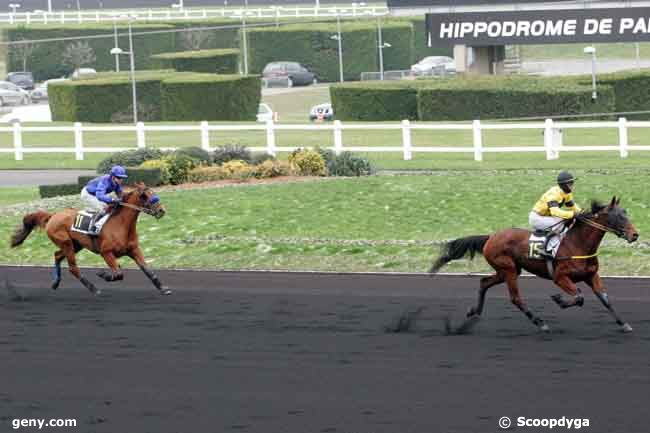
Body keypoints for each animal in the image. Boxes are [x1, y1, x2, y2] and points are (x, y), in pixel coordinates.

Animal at [11, 181, 170, 296]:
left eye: (153, 192)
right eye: (145, 195)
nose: (161, 210)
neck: (121, 225)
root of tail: (53, 216)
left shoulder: (134, 250)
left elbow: (147, 270)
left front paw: (163, 289)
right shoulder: (106, 252)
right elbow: (118, 273)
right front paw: (103, 274)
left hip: (75, 245)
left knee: (57, 255)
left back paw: (56, 282)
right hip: (67, 243)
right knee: (73, 268)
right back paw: (93, 289)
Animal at [428, 197, 636, 332]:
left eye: (626, 213)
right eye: (619, 216)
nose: (635, 235)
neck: (578, 244)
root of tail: (491, 237)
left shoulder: (591, 276)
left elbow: (605, 299)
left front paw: (624, 324)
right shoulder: (560, 277)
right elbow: (578, 297)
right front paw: (559, 299)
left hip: (507, 270)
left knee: (484, 282)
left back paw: (475, 311)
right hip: (509, 270)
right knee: (515, 298)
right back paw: (539, 322)